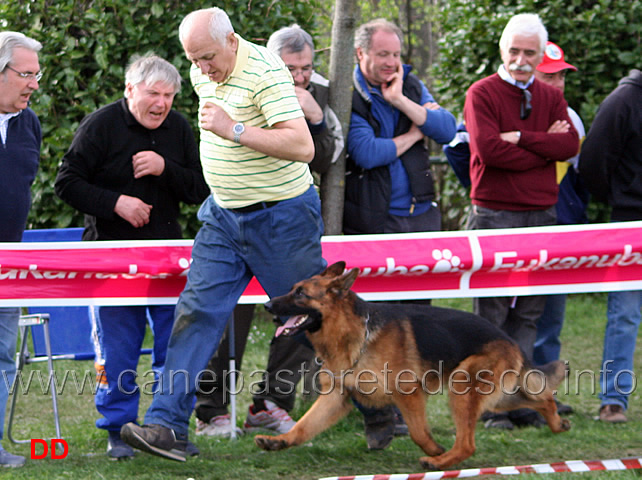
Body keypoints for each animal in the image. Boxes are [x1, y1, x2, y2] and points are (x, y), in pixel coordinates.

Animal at [255, 262, 568, 468]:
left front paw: (434, 449)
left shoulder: (408, 393)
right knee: (542, 398)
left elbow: (418, 432)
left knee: (468, 443)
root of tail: (509, 339)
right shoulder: (335, 398)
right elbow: (304, 426)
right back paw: (556, 423)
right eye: (292, 290)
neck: (355, 334)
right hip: (495, 397)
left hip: (463, 387)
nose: (268, 306)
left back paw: (440, 461)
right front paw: (280, 441)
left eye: (300, 293)